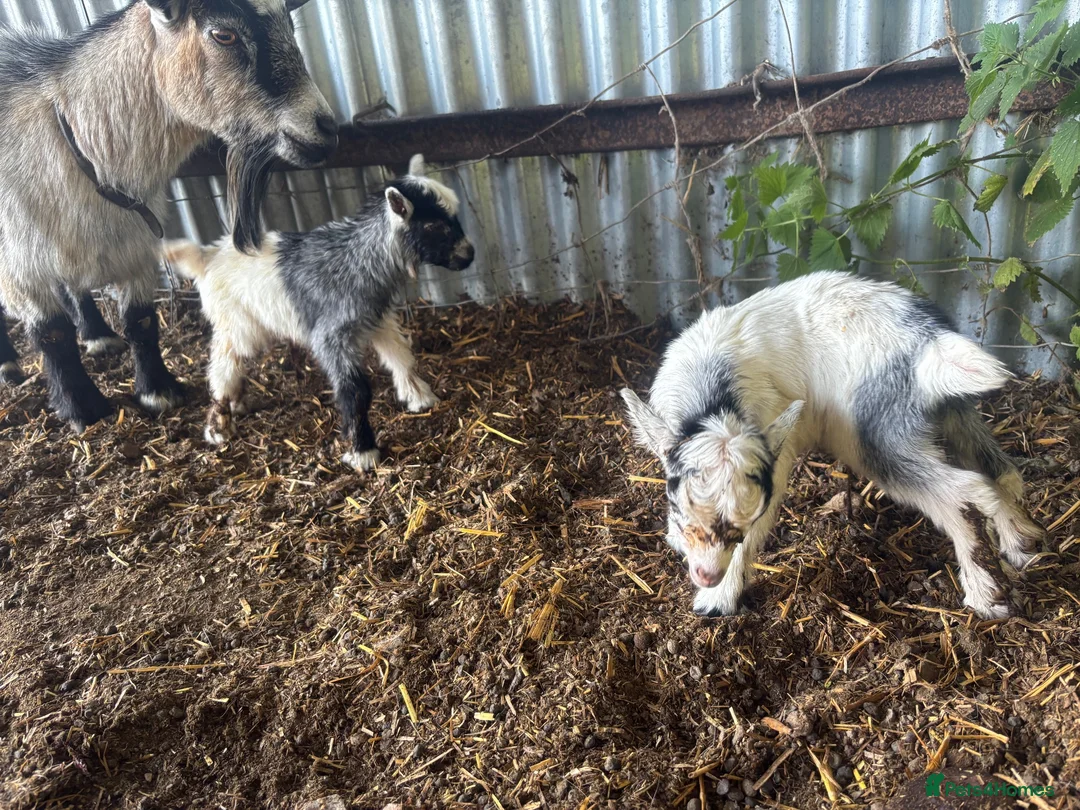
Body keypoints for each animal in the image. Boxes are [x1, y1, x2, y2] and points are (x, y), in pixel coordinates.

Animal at [0, 0, 338, 431]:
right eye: (224, 35)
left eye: (289, 25)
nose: (326, 128)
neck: (79, 142)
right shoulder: (20, 266)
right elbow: (53, 335)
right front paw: (83, 410)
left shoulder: (137, 244)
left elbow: (141, 320)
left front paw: (158, 392)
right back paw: (9, 364)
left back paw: (97, 336)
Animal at [162, 154, 475, 472]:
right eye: (434, 227)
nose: (470, 255)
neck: (357, 260)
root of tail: (207, 257)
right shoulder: (331, 336)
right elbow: (355, 390)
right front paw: (363, 451)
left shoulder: (376, 319)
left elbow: (401, 357)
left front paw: (420, 397)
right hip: (237, 321)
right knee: (222, 363)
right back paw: (219, 425)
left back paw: (237, 403)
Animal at [621, 271, 1046, 620]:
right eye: (681, 509)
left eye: (745, 522)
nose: (707, 575)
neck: (714, 396)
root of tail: (928, 342)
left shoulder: (774, 452)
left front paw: (717, 600)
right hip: (949, 410)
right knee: (1000, 471)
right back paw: (1021, 543)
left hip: (876, 433)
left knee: (965, 492)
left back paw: (985, 595)